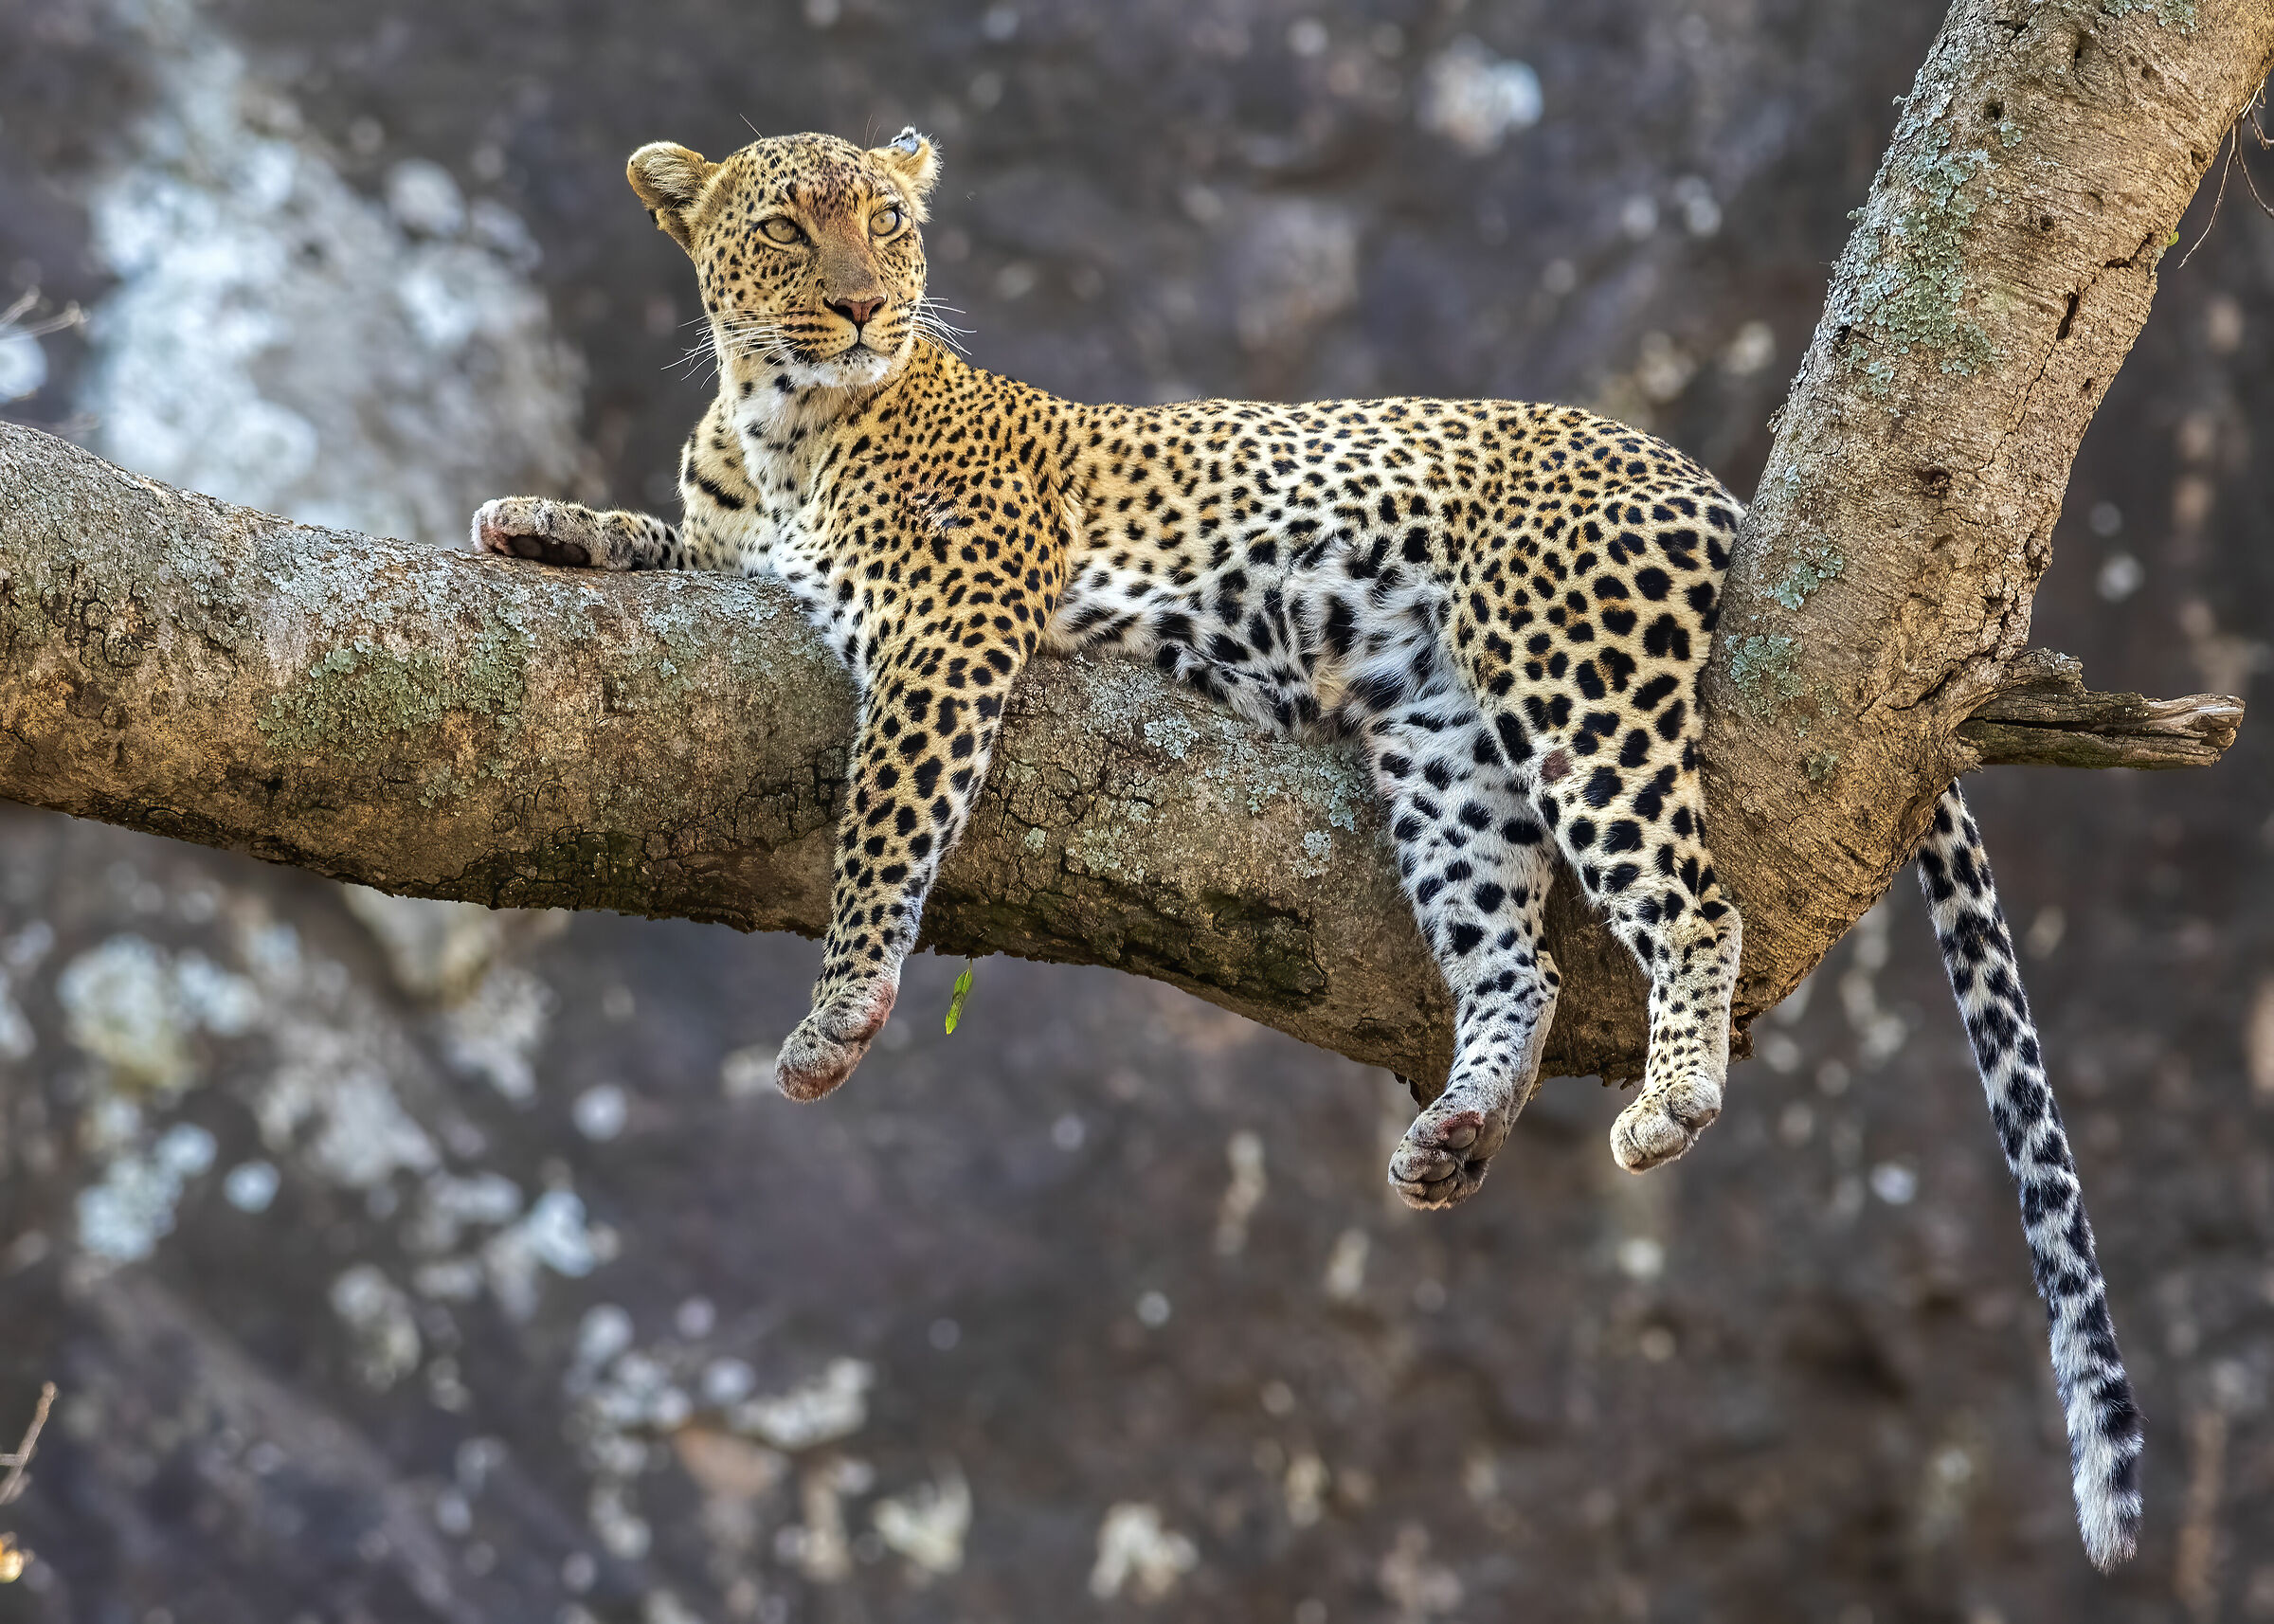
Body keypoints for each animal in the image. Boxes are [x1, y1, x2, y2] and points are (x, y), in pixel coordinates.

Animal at [472, 128, 2140, 1569]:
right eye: (784, 228)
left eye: (887, 221)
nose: (866, 304)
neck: (776, 418)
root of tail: (1693, 470)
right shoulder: (736, 556)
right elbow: (657, 539)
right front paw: (539, 520)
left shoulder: (949, 628)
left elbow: (887, 820)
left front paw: (837, 1013)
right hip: (1446, 751)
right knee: (1521, 962)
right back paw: (1458, 1127)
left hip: (1570, 678)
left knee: (1691, 901)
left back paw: (1669, 1096)